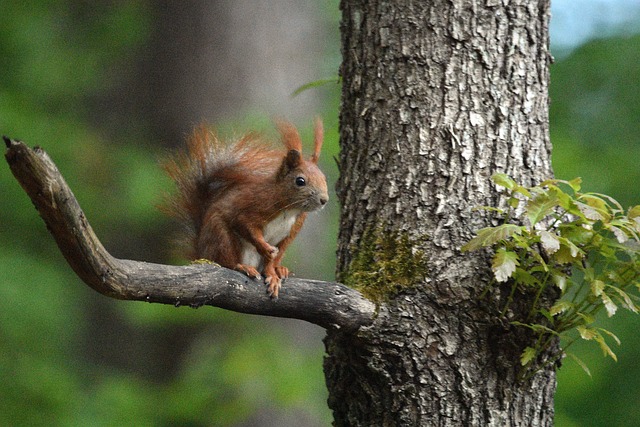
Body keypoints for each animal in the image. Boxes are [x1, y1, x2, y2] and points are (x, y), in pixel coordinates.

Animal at [164, 117, 330, 298]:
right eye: (300, 181)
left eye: (324, 178)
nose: (324, 200)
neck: (289, 208)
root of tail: (202, 253)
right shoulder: (253, 205)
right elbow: (244, 224)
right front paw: (265, 248)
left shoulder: (291, 230)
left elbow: (275, 257)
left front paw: (272, 275)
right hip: (221, 237)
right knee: (226, 261)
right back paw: (241, 266)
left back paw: (280, 269)